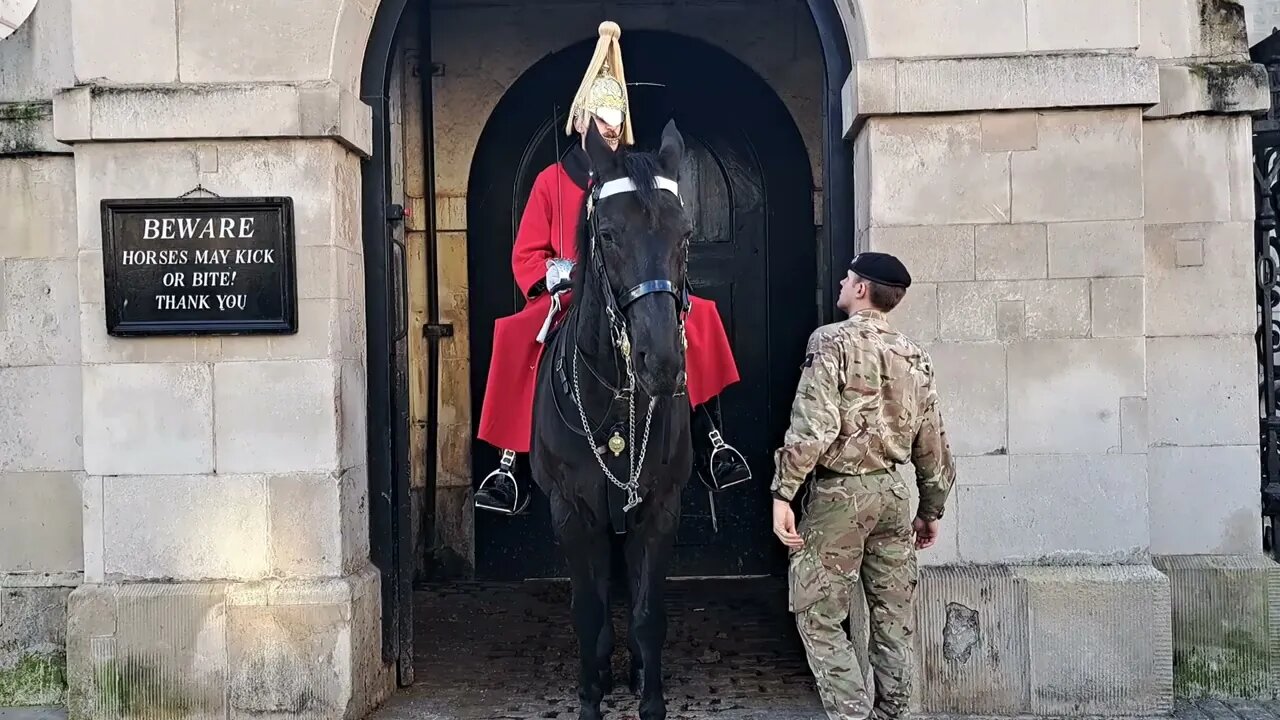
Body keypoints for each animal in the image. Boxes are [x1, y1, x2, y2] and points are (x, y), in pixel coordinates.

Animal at [527, 119, 696, 717]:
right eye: (608, 235)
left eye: (685, 235)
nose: (662, 363)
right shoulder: (573, 512)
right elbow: (589, 616)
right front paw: (589, 700)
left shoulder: (660, 507)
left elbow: (648, 616)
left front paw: (651, 702)